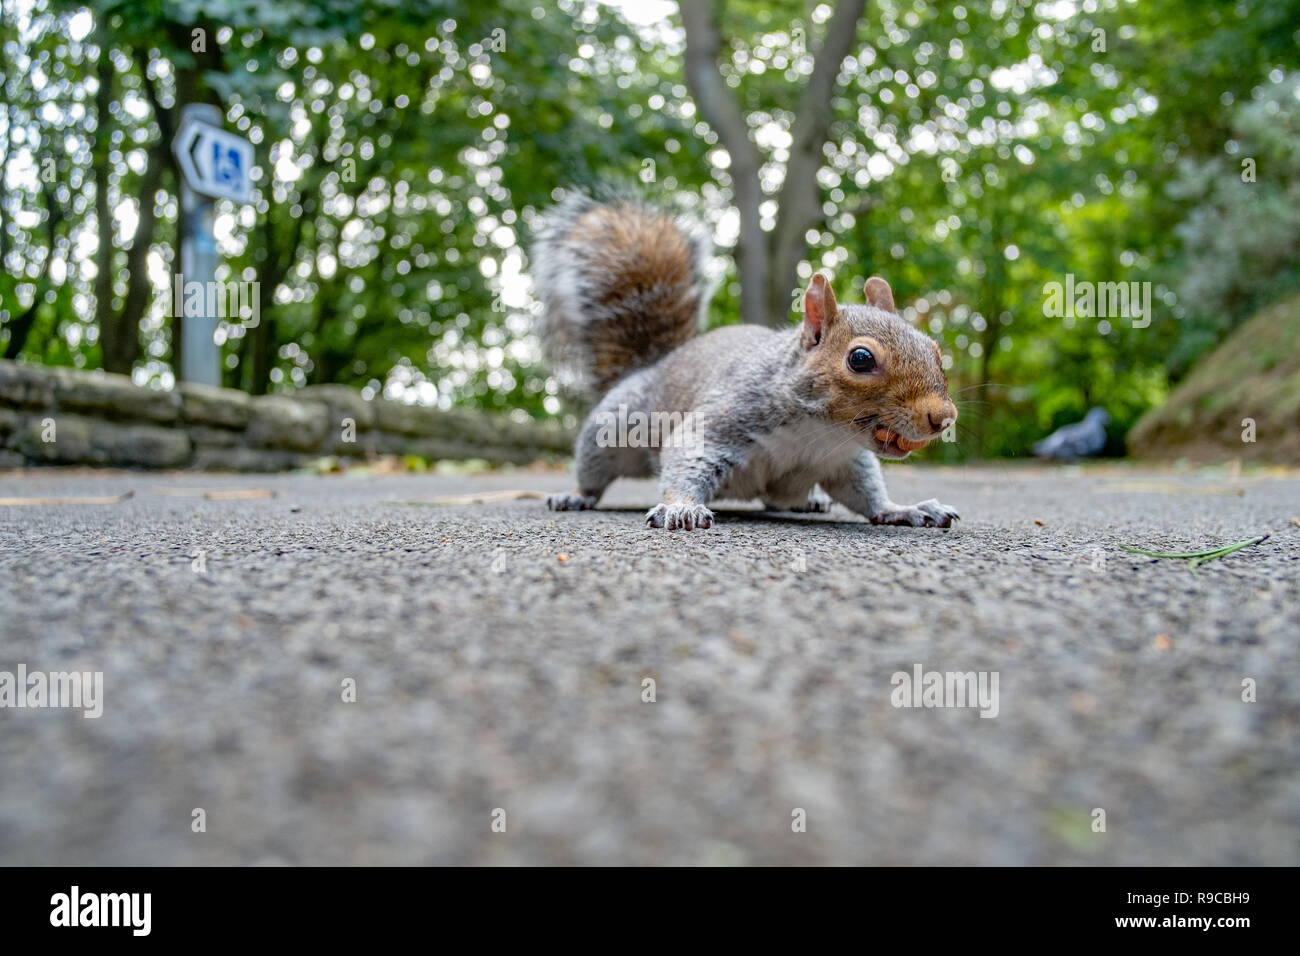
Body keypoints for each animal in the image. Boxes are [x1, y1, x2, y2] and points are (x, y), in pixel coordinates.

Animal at [531, 192, 960, 531]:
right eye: (860, 358)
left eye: (935, 350)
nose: (943, 418)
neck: (820, 432)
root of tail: (658, 362)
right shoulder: (725, 418)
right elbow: (687, 456)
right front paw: (681, 509)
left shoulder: (844, 461)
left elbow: (868, 494)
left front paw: (906, 509)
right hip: (611, 429)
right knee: (593, 472)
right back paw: (574, 496)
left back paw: (811, 500)